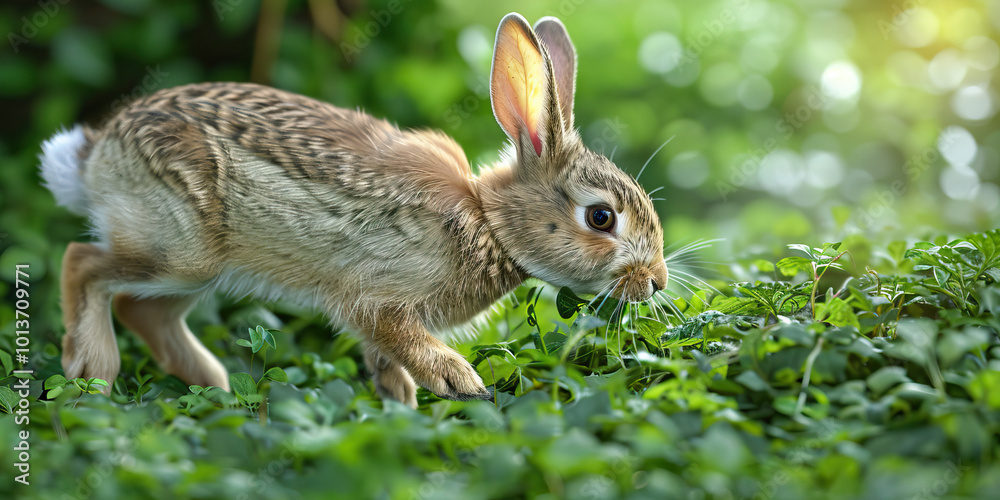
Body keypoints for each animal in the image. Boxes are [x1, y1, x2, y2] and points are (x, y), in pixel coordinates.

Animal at [38, 12, 668, 408]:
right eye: (601, 218)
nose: (657, 282)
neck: (489, 222)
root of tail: (97, 153)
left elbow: (387, 365)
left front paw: (402, 405)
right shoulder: (376, 298)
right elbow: (402, 340)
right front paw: (459, 382)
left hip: (195, 271)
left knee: (145, 312)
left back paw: (214, 386)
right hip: (180, 249)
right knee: (80, 262)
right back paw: (93, 374)